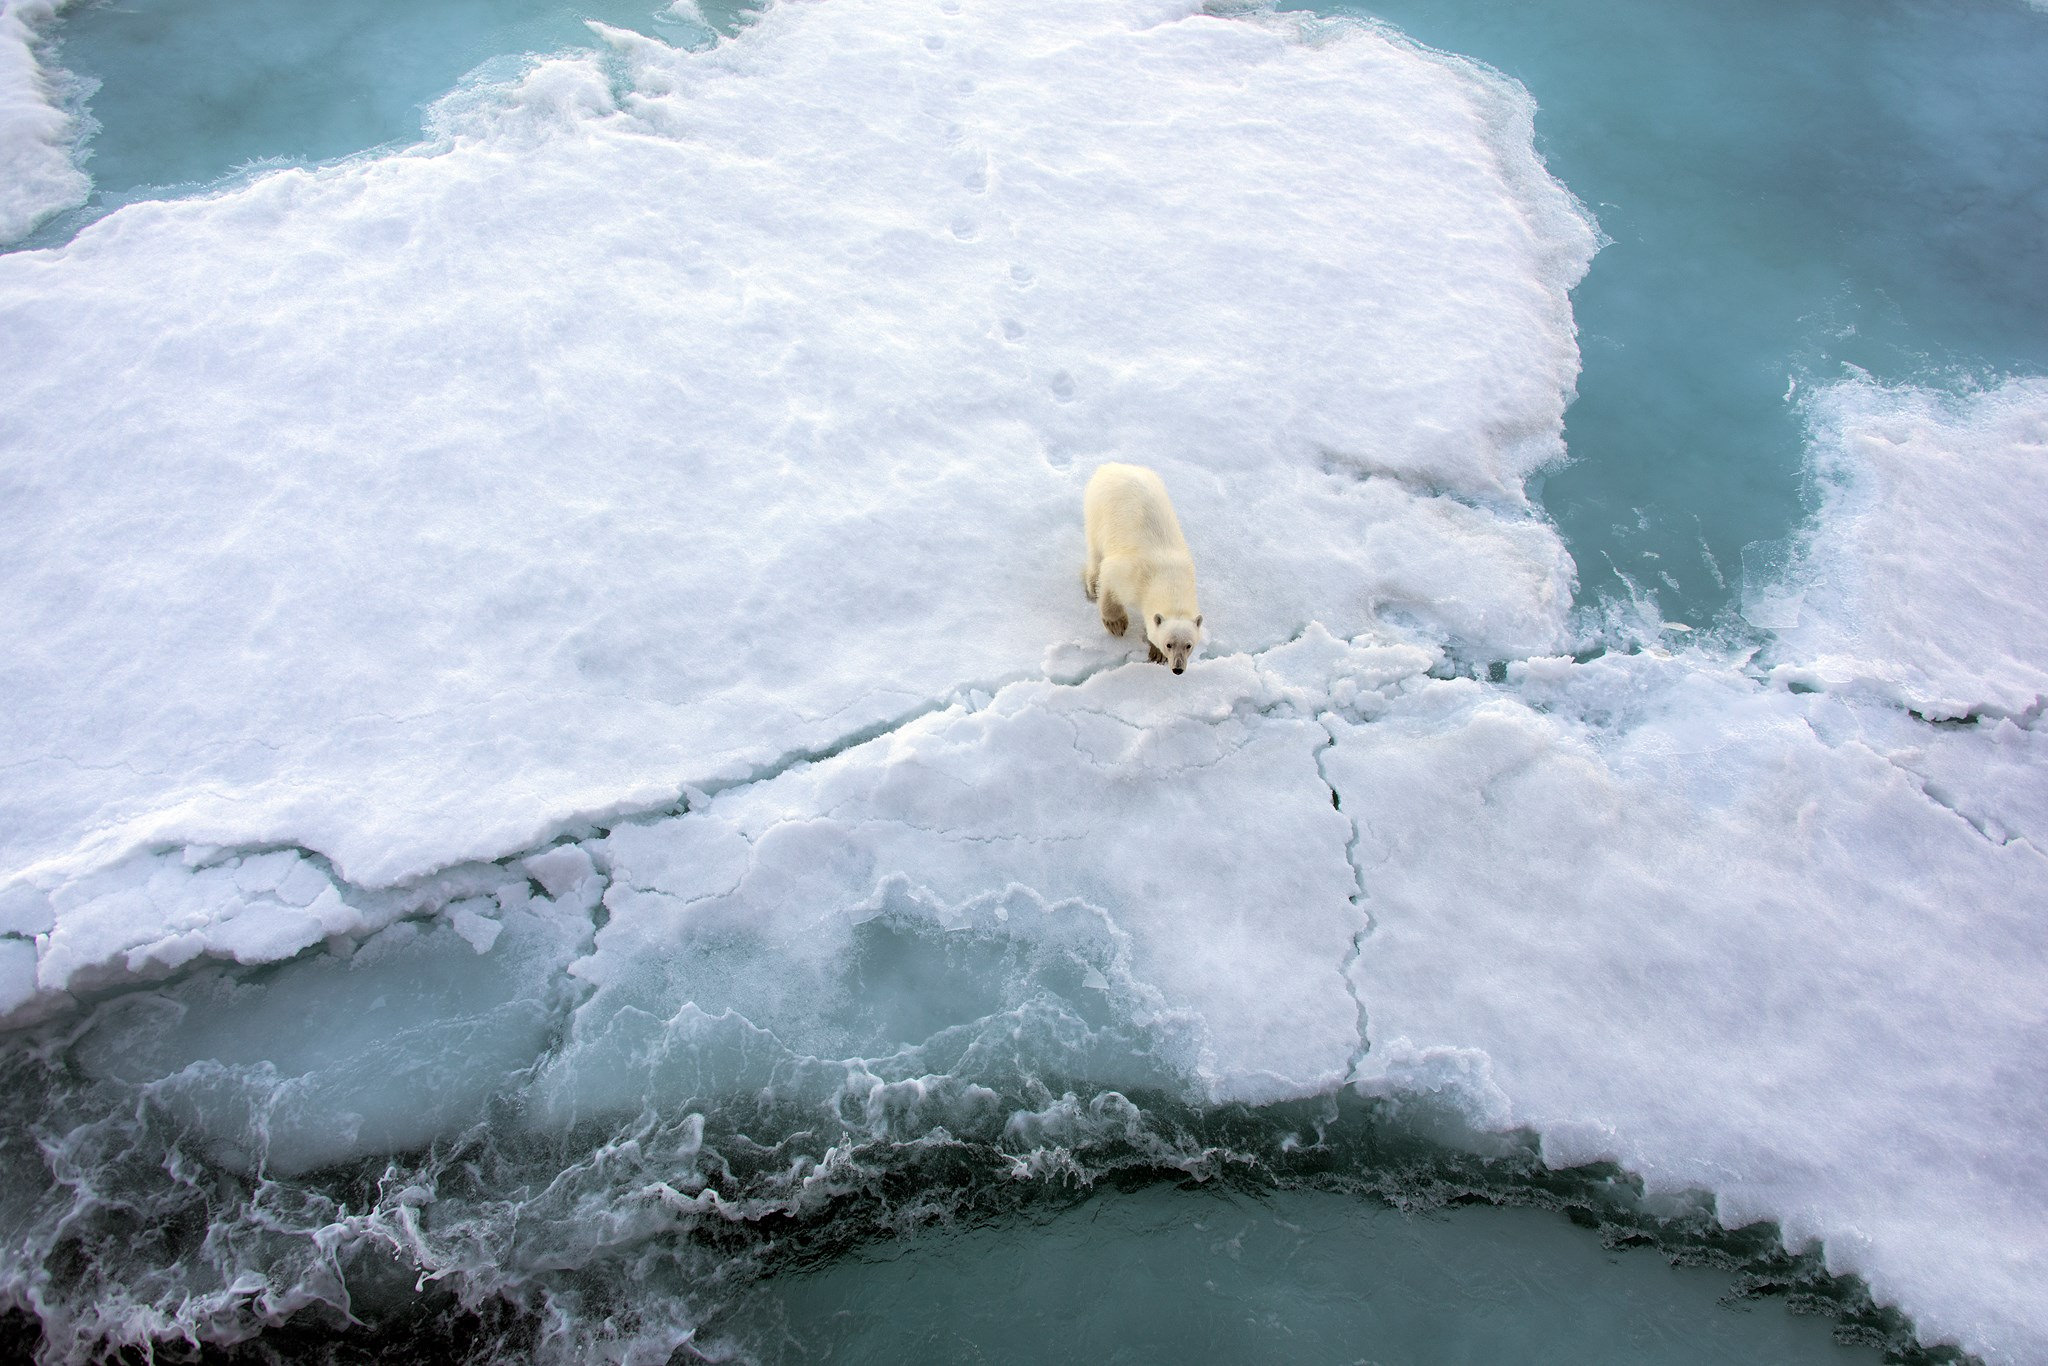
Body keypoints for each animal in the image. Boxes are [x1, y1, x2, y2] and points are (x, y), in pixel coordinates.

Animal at [1089, 464, 1196, 671]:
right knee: (1095, 550)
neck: (1167, 576)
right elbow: (1108, 579)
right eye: (1169, 644)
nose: (1178, 668)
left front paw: (1156, 653)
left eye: (1189, 645)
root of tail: (1113, 466)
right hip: (1099, 511)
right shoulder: (1129, 574)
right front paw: (1116, 623)